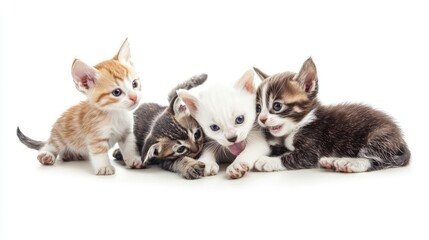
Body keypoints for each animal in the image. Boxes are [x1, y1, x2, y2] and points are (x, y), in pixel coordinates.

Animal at [17, 38, 142, 175]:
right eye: (117, 92)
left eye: (134, 84)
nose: (134, 97)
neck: (116, 113)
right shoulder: (95, 136)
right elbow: (99, 152)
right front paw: (104, 167)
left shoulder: (127, 133)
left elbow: (129, 146)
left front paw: (134, 159)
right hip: (61, 137)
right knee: (50, 145)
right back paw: (46, 155)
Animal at [252, 56, 410, 172]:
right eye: (258, 108)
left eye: (277, 106)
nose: (262, 119)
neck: (304, 122)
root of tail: (401, 139)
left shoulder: (313, 146)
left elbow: (293, 158)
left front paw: (267, 161)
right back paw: (332, 161)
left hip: (379, 137)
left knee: (378, 159)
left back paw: (348, 163)